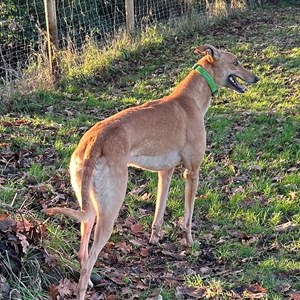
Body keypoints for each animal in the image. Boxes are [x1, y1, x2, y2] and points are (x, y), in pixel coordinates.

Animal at [42, 44, 260, 298]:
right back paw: (84, 289)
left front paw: (155, 239)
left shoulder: (165, 172)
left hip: (89, 207)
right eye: (236, 62)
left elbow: (159, 211)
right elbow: (187, 217)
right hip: (111, 206)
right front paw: (189, 243)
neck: (189, 99)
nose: (256, 78)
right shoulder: (192, 171)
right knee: (90, 257)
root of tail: (94, 142)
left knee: (82, 252)